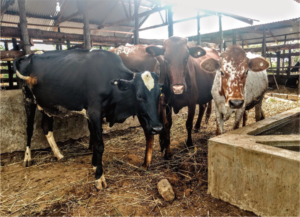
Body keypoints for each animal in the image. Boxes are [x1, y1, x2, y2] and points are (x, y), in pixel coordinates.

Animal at [12, 49, 163, 190]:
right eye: (139, 95)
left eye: (158, 95)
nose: (157, 127)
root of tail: (29, 55)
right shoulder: (94, 112)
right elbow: (99, 145)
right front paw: (99, 177)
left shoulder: (94, 115)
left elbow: (94, 141)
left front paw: (95, 165)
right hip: (28, 99)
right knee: (29, 128)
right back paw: (27, 158)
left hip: (47, 106)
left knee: (46, 127)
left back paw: (58, 154)